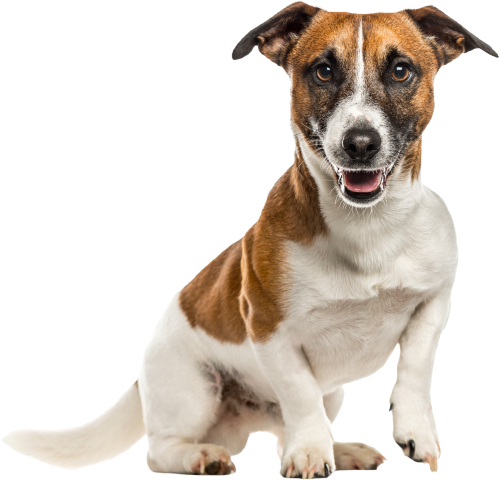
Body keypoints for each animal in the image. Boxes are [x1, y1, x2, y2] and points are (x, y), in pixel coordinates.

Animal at [1, 1, 498, 478]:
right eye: (323, 70)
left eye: (400, 70)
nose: (360, 143)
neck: (367, 228)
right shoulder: (268, 328)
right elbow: (301, 397)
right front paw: (311, 455)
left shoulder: (433, 303)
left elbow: (415, 367)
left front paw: (414, 430)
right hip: (195, 390)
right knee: (163, 449)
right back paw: (203, 457)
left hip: (325, 395)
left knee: (285, 433)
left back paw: (340, 450)